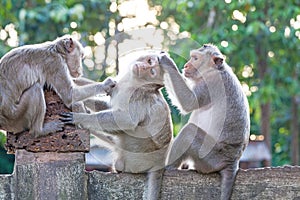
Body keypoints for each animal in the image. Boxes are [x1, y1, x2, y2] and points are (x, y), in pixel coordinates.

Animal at [60, 53, 173, 200]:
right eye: (149, 61)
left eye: (152, 72)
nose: (143, 67)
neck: (134, 84)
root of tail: (160, 164)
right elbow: (108, 105)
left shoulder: (138, 97)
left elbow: (126, 120)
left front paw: (79, 117)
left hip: (139, 156)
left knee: (133, 131)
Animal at [159, 44, 251, 200]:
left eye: (195, 58)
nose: (186, 65)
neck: (215, 70)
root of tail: (232, 162)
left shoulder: (210, 84)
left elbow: (189, 102)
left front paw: (166, 60)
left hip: (210, 157)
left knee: (189, 132)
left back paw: (168, 167)